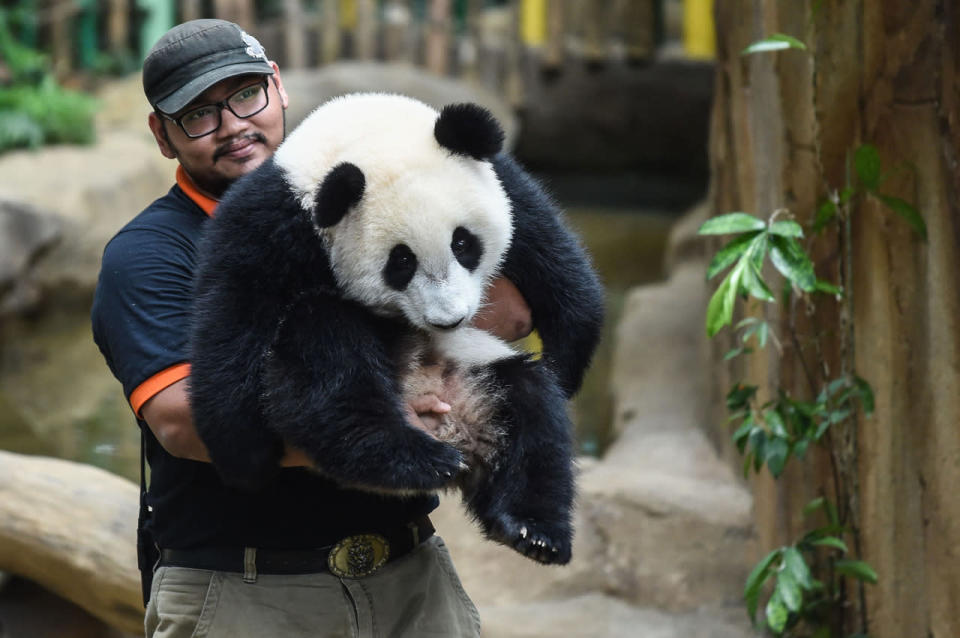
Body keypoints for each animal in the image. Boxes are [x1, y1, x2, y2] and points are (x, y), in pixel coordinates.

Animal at [190, 94, 604, 564]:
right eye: (401, 262)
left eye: (464, 243)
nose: (450, 320)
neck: (363, 131)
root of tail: (455, 427)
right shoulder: (270, 223)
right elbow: (235, 312)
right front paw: (244, 455)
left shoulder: (503, 181)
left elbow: (550, 254)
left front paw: (565, 362)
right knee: (326, 353)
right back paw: (414, 457)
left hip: (481, 374)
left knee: (531, 411)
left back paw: (533, 531)